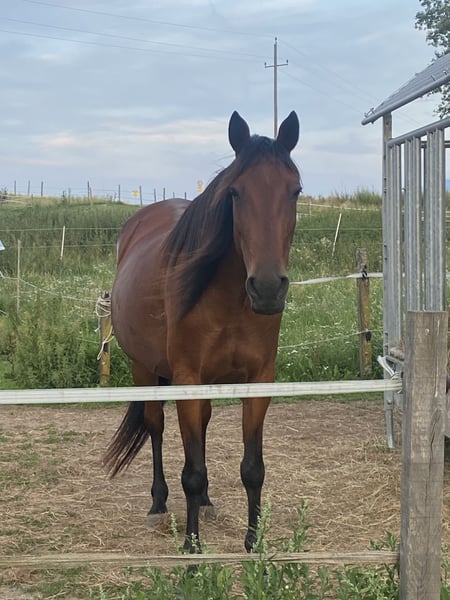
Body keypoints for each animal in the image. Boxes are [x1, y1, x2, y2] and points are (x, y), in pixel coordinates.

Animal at [104, 110, 301, 553]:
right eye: (235, 194)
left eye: (295, 191)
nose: (267, 288)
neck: (228, 300)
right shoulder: (187, 379)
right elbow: (190, 473)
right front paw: (192, 549)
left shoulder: (259, 380)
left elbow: (253, 467)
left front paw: (253, 543)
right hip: (144, 369)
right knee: (156, 428)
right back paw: (158, 506)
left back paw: (208, 503)